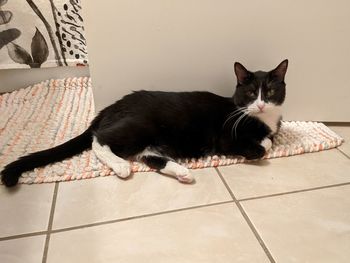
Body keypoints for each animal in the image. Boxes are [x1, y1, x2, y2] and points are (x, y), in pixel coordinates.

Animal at [1, 59, 288, 188]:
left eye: (271, 92)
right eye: (250, 93)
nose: (261, 104)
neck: (262, 119)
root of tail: (112, 107)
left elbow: (270, 139)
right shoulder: (227, 137)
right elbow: (262, 146)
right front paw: (263, 143)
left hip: (150, 139)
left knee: (149, 155)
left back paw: (182, 172)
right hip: (139, 125)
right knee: (99, 140)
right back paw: (120, 166)